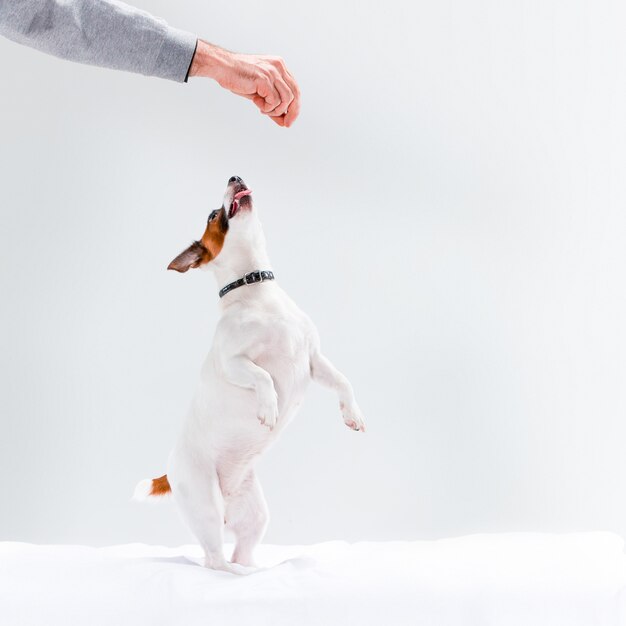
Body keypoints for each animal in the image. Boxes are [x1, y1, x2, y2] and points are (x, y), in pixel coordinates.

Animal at [134, 176, 364, 572]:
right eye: (213, 215)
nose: (234, 177)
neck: (256, 290)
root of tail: (170, 470)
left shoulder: (313, 360)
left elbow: (342, 381)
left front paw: (353, 415)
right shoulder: (234, 362)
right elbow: (264, 377)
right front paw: (269, 409)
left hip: (255, 515)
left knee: (239, 549)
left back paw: (254, 569)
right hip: (206, 504)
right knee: (213, 559)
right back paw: (236, 575)